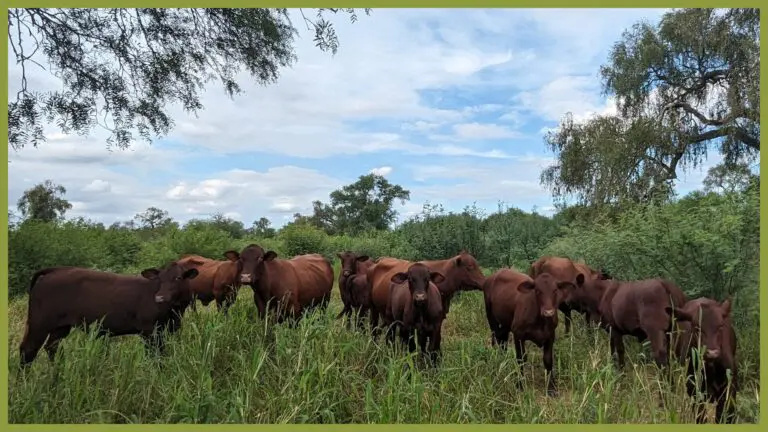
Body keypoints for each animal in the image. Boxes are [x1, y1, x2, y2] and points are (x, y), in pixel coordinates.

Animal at [18, 263, 199, 367]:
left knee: (51, 347)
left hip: (61, 326)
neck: (175, 311)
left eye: (178, 278)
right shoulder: (149, 331)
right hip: (39, 322)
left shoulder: (167, 330)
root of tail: (55, 270)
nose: (159, 298)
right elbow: (154, 356)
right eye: (160, 279)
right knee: (28, 350)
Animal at [483, 268, 577, 396]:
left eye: (555, 290)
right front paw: (520, 384)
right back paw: (496, 360)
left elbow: (548, 360)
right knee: (495, 338)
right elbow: (521, 359)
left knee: (503, 340)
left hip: (506, 322)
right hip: (490, 315)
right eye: (537, 291)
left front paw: (551, 388)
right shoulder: (518, 334)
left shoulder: (550, 336)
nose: (548, 312)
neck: (540, 321)